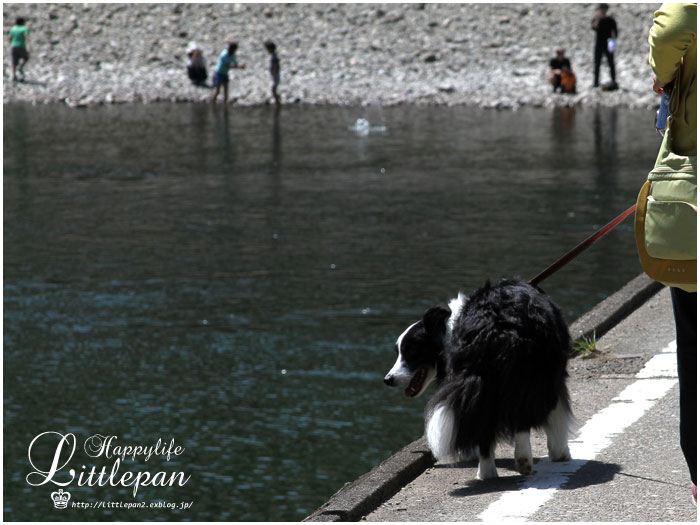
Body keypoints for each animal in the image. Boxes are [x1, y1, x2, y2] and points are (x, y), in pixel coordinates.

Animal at [386, 278, 572, 478]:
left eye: (410, 352)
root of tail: (491, 326)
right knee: (520, 417)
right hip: (529, 376)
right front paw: (560, 453)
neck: (448, 329)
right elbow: (558, 413)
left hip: (486, 382)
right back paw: (521, 461)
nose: (387, 380)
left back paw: (486, 473)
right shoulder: (553, 376)